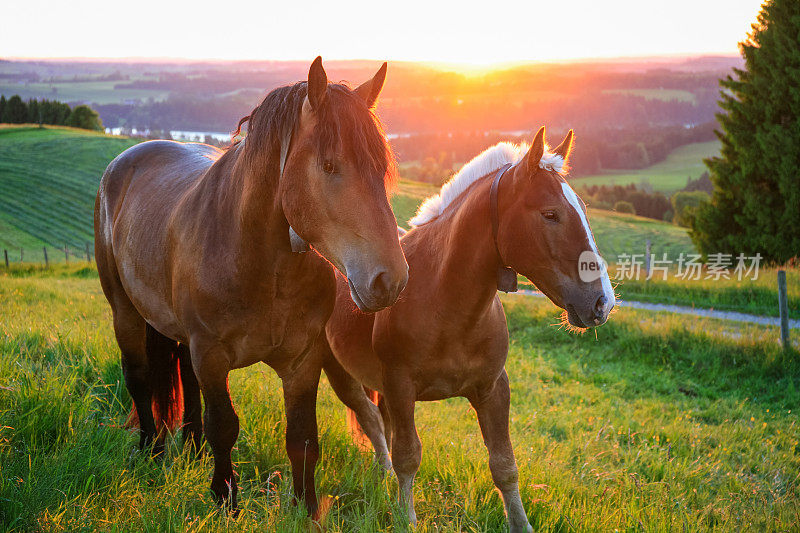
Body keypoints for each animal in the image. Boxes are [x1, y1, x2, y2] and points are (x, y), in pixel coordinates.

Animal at [94, 56, 410, 512]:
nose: (390, 280)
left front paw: (307, 509)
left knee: (187, 383)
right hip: (126, 312)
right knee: (139, 379)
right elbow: (224, 426)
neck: (261, 265)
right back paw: (151, 450)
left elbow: (303, 439)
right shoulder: (211, 354)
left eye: (381, 168)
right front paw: (225, 499)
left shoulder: (303, 361)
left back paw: (191, 450)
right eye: (330, 165)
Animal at [322, 127, 616, 528]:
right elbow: (408, 456)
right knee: (372, 422)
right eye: (550, 214)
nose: (603, 302)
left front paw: (521, 524)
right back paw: (382, 476)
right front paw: (407, 518)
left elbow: (504, 464)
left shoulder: (492, 389)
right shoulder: (400, 387)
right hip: (339, 372)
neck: (446, 305)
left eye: (584, 211)